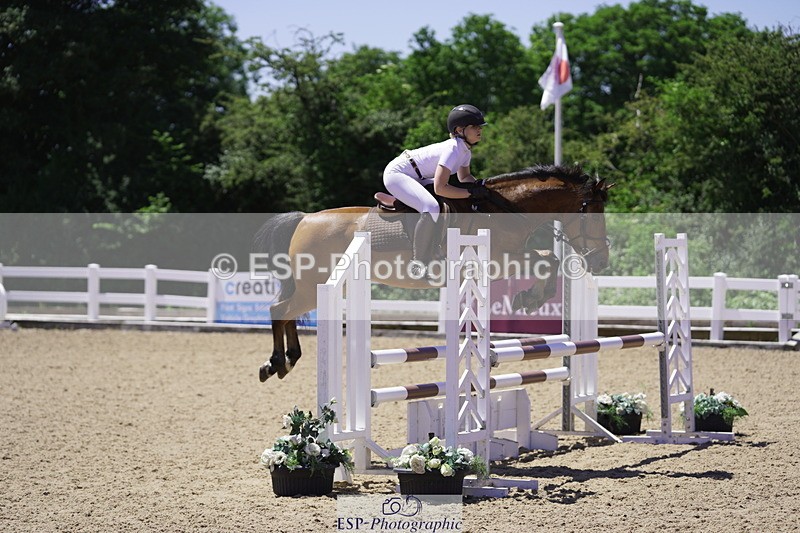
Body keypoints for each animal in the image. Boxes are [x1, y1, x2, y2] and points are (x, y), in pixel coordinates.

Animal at [254, 164, 613, 382]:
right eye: (592, 214)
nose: (600, 261)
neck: (505, 210)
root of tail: (305, 218)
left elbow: (548, 259)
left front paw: (530, 298)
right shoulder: (499, 261)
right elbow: (547, 260)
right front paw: (530, 298)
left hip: (312, 286)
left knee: (286, 312)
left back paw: (287, 360)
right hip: (311, 285)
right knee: (279, 309)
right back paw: (277, 362)